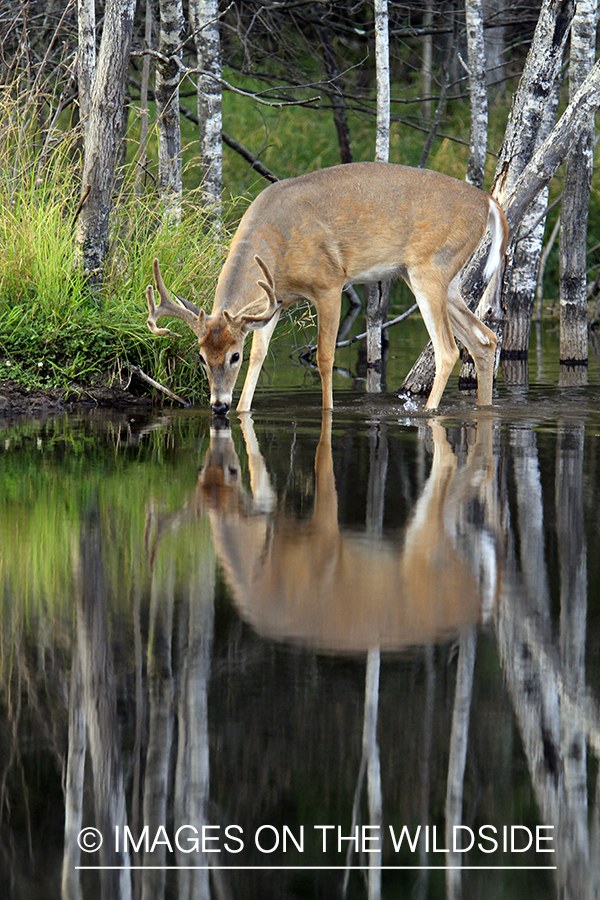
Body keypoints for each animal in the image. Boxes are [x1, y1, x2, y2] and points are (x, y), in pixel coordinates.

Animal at [145, 162, 506, 414]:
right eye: (201, 357)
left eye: (234, 356)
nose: (218, 406)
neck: (275, 246)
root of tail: (488, 201)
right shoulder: (275, 301)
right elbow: (260, 356)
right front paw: (241, 411)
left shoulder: (329, 283)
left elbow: (324, 356)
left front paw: (328, 410)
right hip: (442, 278)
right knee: (485, 339)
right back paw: (485, 407)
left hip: (429, 267)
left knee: (448, 349)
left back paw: (429, 412)